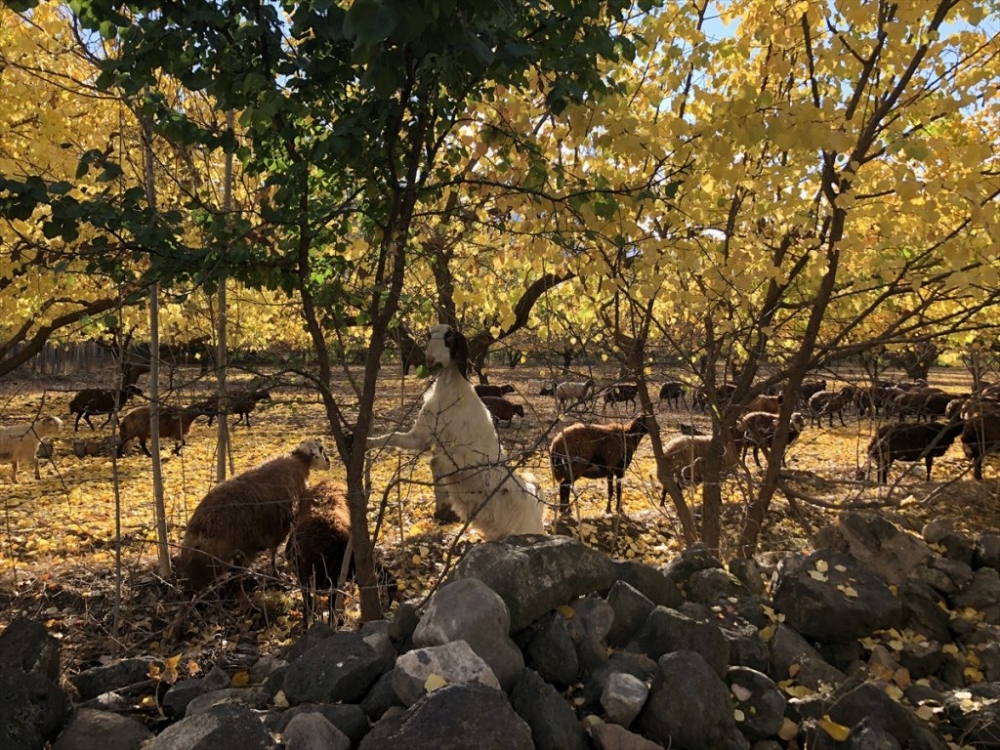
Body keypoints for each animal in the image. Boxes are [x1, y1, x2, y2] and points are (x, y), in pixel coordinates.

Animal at [173, 440, 328, 592]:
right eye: (321, 449)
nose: (329, 464)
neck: (299, 461)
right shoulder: (280, 526)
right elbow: (273, 552)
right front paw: (277, 575)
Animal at [366, 324, 544, 540]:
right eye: (429, 336)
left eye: (449, 339)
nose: (430, 360)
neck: (449, 392)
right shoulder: (421, 436)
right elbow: (393, 437)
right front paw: (366, 442)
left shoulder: (463, 458)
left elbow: (435, 462)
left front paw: (443, 505)